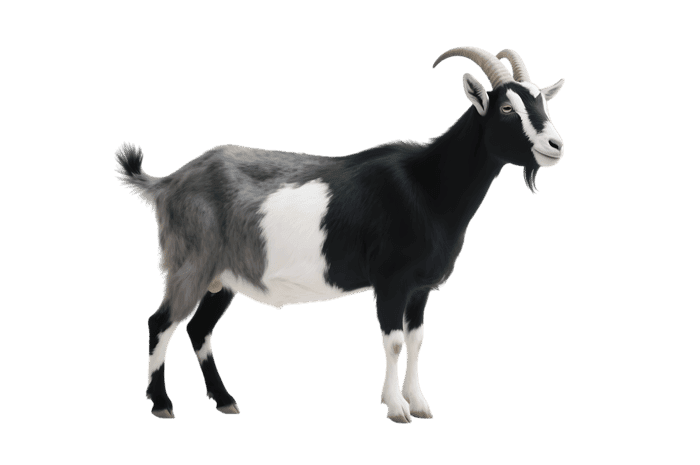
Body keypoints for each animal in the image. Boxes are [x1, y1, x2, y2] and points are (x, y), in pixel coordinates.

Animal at [115, 46, 565, 423]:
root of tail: (168, 183)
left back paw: (225, 400)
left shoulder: (419, 289)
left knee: (198, 329)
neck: (425, 187)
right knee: (161, 323)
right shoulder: (390, 281)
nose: (555, 145)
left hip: (223, 277)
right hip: (191, 264)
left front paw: (419, 404)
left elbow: (417, 340)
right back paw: (162, 404)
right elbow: (394, 342)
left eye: (542, 101)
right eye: (506, 107)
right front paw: (397, 408)